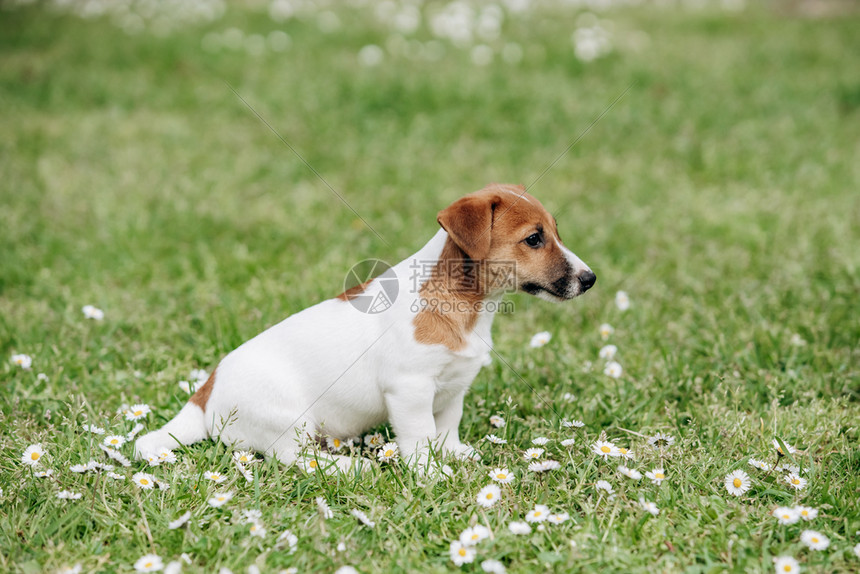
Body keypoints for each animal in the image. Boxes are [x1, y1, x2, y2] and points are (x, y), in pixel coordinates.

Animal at [136, 184, 596, 472]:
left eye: (555, 232)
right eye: (534, 239)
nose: (591, 279)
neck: (465, 305)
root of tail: (206, 393)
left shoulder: (453, 389)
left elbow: (446, 430)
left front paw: (455, 456)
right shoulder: (409, 390)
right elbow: (420, 439)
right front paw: (432, 475)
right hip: (289, 420)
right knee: (295, 459)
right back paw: (350, 468)